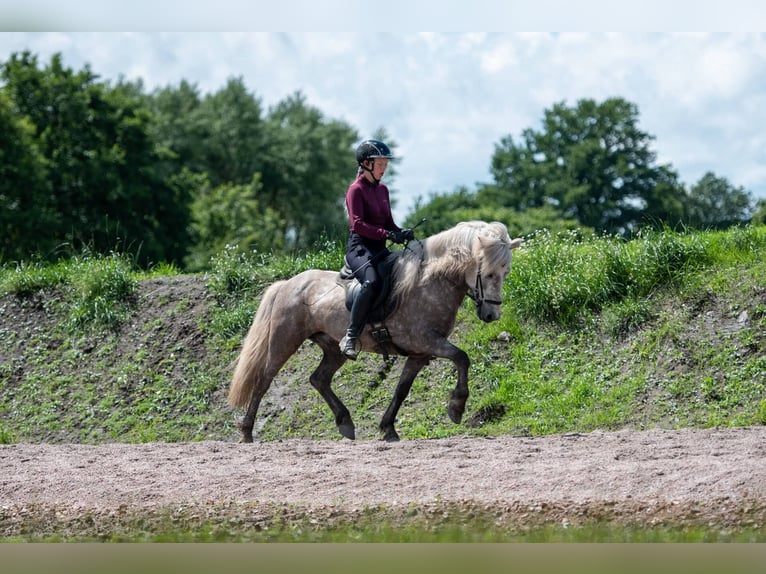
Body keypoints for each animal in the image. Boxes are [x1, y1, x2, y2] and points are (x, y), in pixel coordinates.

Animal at [228, 223, 528, 444]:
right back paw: (247, 432)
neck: (432, 281)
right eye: (488, 274)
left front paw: (388, 429)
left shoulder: (419, 353)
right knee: (263, 380)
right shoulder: (428, 341)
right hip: (285, 340)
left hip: (333, 348)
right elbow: (462, 357)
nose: (491, 316)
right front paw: (456, 407)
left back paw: (345, 423)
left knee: (319, 379)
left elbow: (402, 390)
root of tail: (288, 283)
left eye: (506, 273)